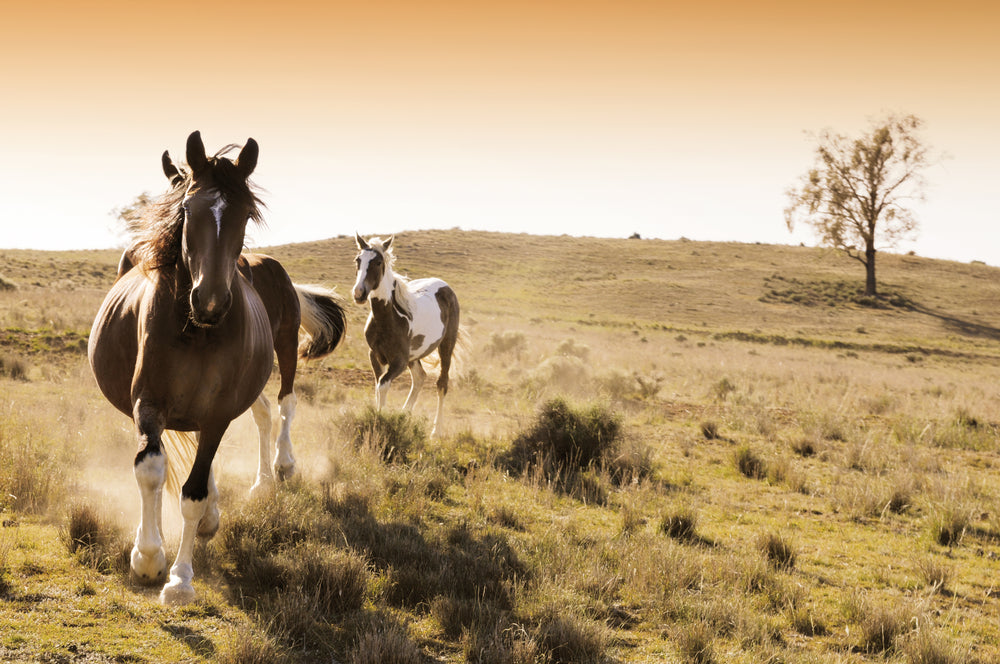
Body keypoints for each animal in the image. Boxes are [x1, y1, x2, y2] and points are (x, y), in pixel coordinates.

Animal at [91, 132, 348, 604]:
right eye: (188, 208)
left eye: (245, 213)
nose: (209, 301)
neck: (197, 329)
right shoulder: (148, 403)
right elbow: (151, 469)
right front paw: (148, 556)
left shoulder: (217, 412)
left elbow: (192, 491)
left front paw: (179, 578)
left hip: (284, 347)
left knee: (284, 403)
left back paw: (280, 468)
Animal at [352, 233, 460, 436]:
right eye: (358, 260)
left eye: (378, 262)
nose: (359, 293)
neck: (389, 319)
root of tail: (446, 287)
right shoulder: (375, 356)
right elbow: (378, 387)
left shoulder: (399, 361)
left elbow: (383, 385)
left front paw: (380, 422)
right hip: (414, 356)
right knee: (419, 378)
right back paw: (404, 415)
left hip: (446, 346)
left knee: (441, 384)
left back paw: (436, 431)